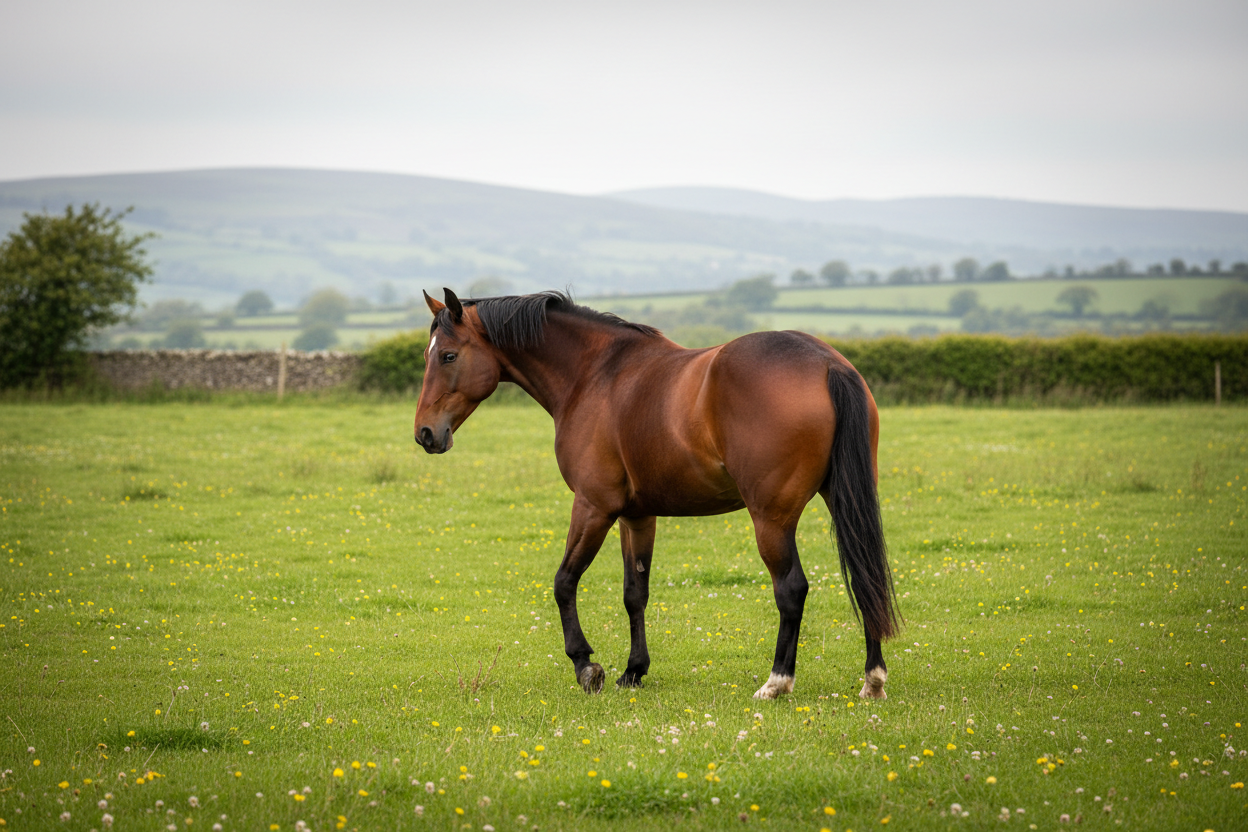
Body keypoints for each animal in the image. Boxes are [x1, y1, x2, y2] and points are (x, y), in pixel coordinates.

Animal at [414, 288, 899, 700]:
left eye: (449, 355)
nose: (424, 434)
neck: (596, 375)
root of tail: (828, 363)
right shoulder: (637, 516)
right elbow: (635, 593)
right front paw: (634, 670)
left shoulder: (593, 507)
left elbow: (564, 582)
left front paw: (586, 666)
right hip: (843, 500)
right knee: (865, 577)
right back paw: (872, 679)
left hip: (771, 518)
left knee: (792, 588)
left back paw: (777, 681)